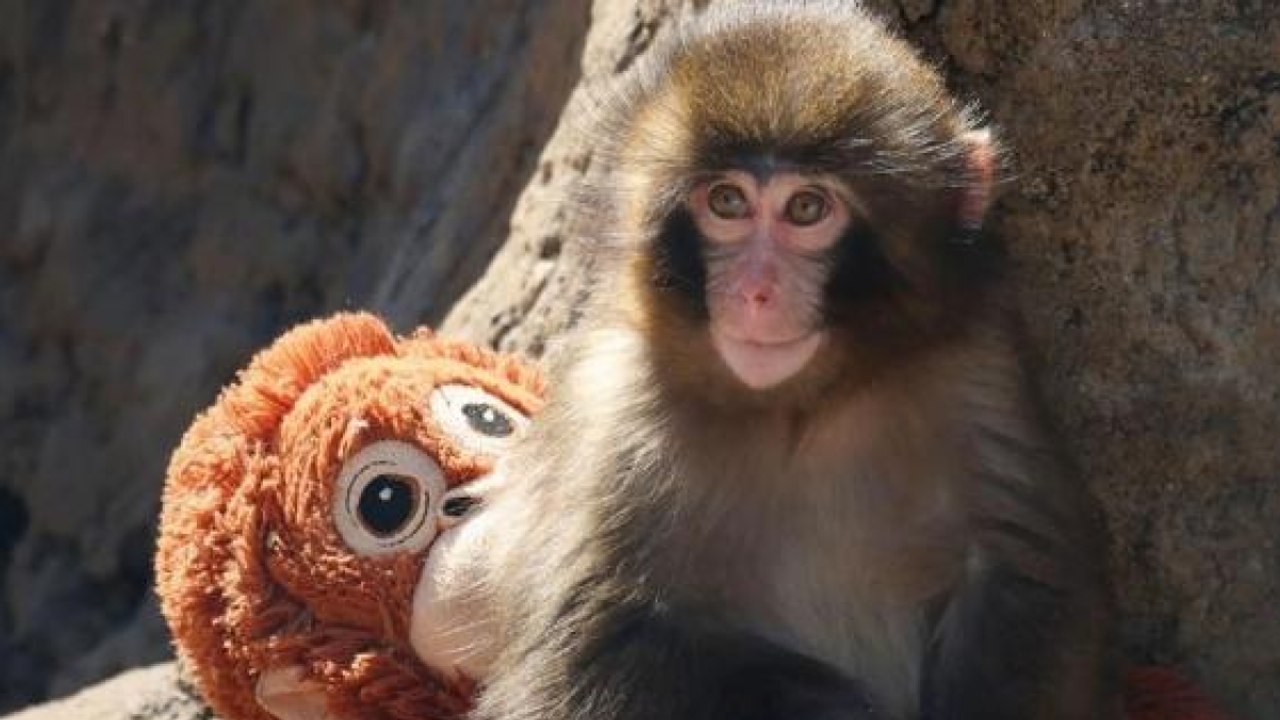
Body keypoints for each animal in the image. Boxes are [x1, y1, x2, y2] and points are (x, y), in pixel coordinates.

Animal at [467, 2, 1120, 719]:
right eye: (727, 202)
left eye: (806, 208)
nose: (757, 291)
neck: (800, 406)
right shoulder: (616, 414)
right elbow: (588, 648)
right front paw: (821, 699)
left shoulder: (976, 371)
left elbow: (1020, 579)